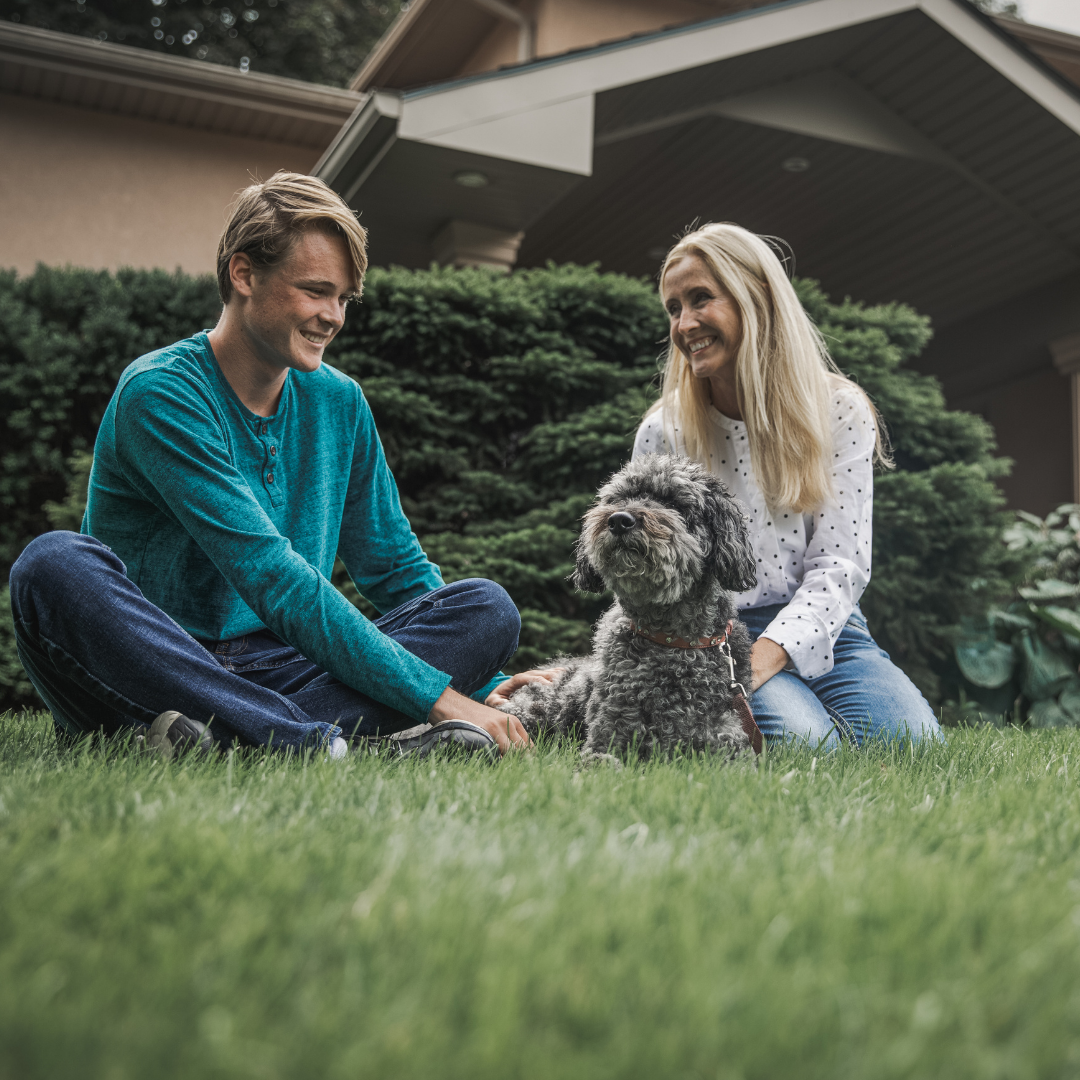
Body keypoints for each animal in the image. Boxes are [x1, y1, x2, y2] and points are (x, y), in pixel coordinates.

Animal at [498, 453, 760, 760]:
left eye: (673, 502)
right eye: (618, 499)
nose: (619, 520)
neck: (671, 641)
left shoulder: (729, 742)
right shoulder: (607, 736)